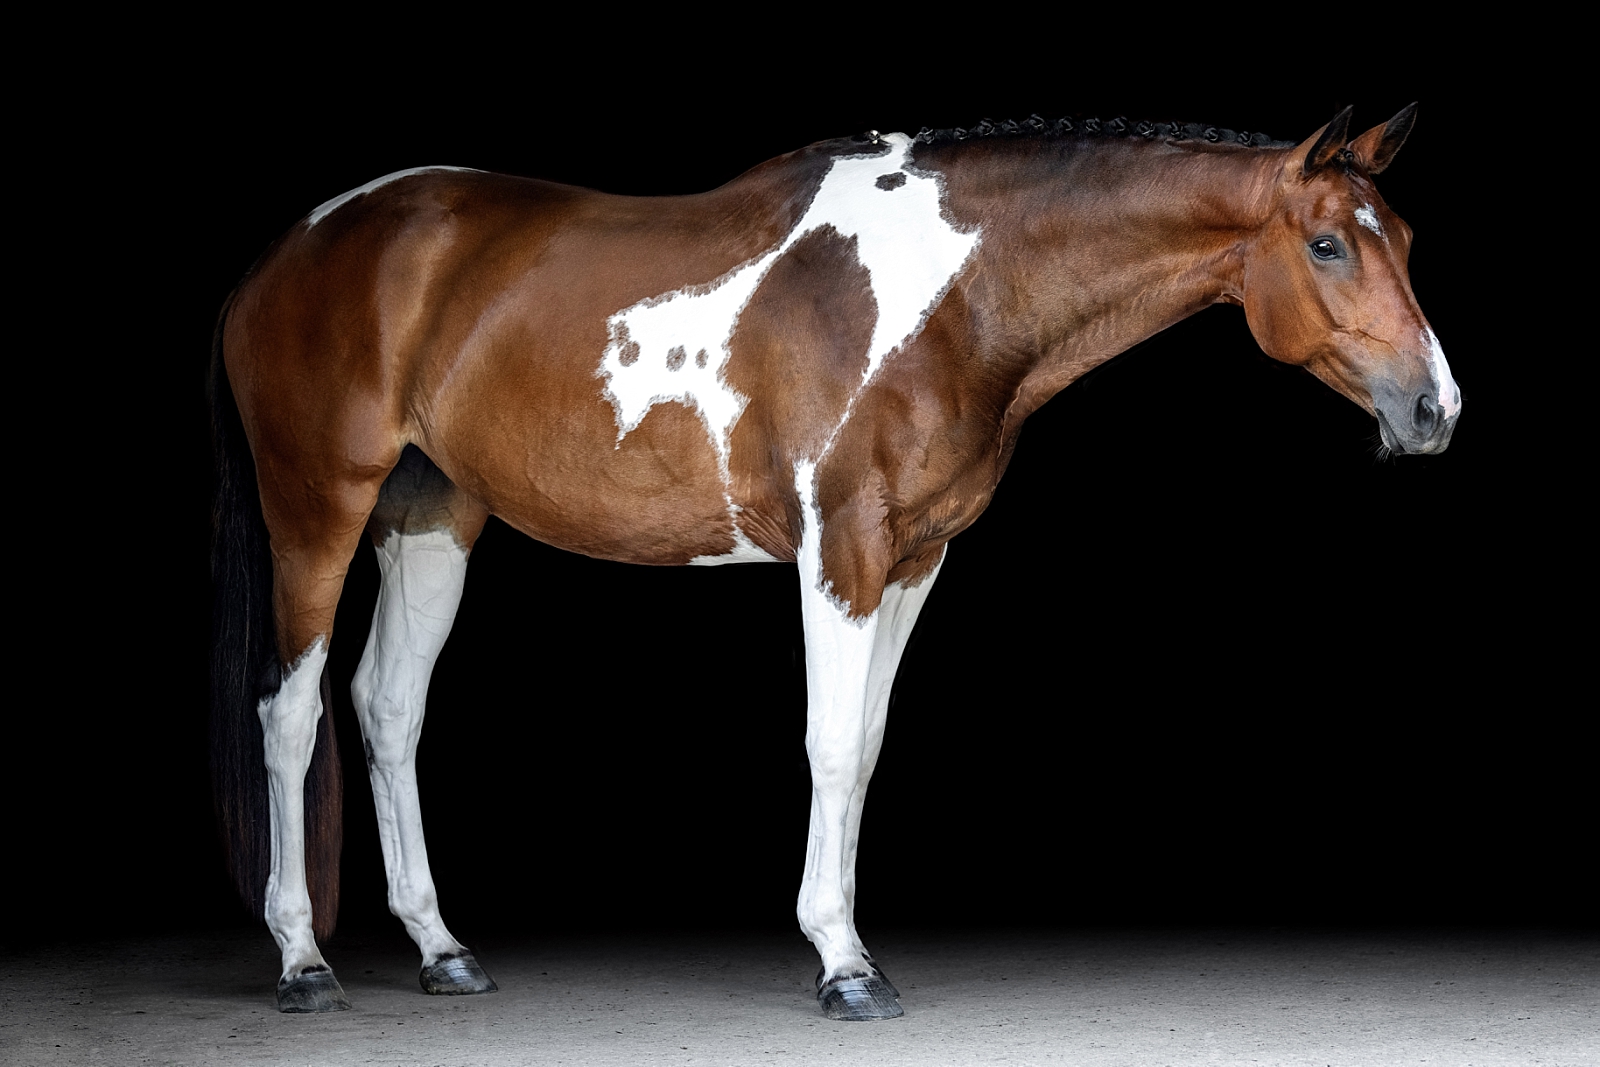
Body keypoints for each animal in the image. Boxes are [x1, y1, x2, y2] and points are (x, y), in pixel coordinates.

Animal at [209, 103, 1465, 1023]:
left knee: (387, 705)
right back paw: (302, 962)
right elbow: (823, 742)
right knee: (286, 708)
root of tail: (289, 249)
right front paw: (843, 965)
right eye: (1325, 243)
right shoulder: (840, 550)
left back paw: (441, 947)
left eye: (1401, 241)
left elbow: (863, 747)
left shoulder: (915, 557)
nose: (1435, 411)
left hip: (433, 516)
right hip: (317, 504)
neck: (949, 292)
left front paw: (850, 942)